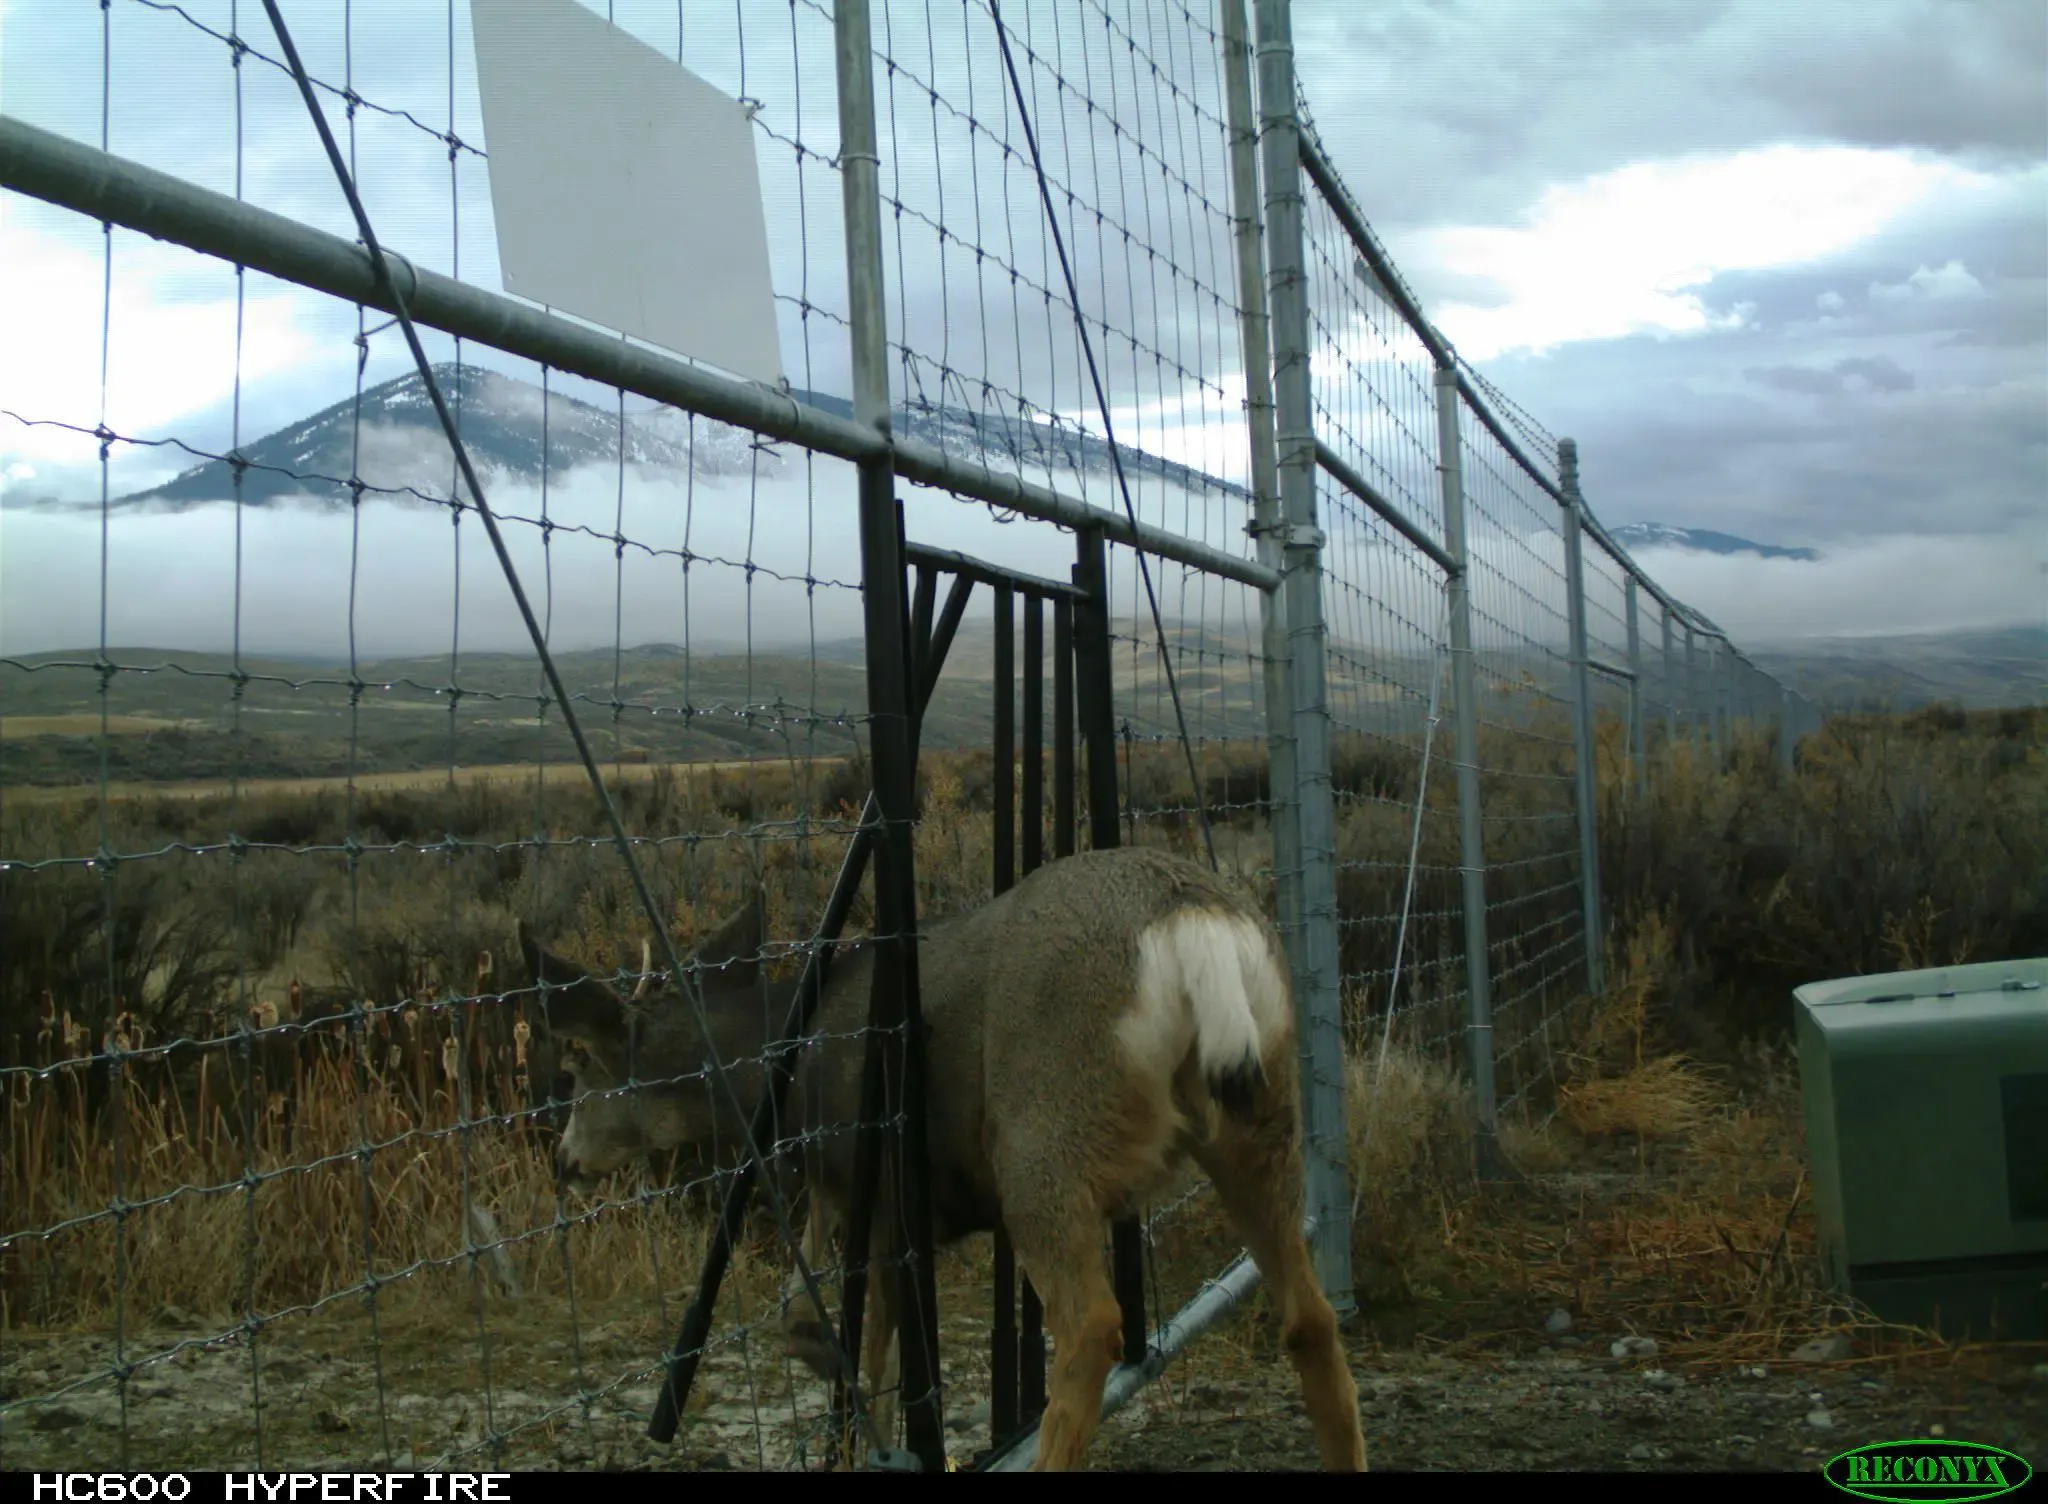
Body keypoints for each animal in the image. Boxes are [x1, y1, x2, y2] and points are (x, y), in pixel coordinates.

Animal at [518, 845, 1367, 1473]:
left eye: (579, 1071)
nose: (563, 1160)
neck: (784, 1072)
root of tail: (1193, 926)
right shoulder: (873, 1208)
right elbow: (830, 1325)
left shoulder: (880, 1194)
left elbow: (869, 1363)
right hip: (1262, 1120)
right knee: (1310, 1317)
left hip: (1045, 1133)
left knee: (1092, 1326)